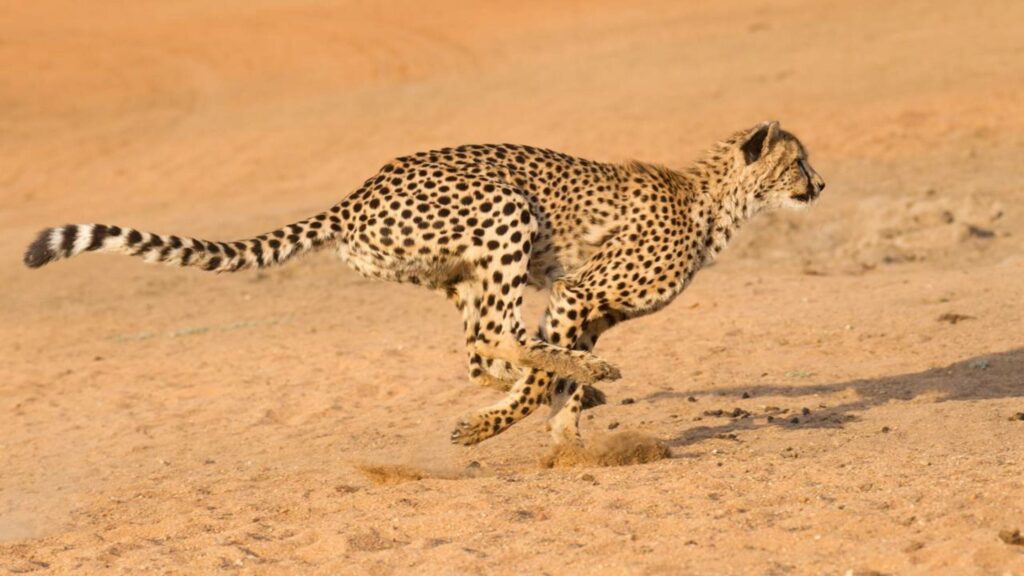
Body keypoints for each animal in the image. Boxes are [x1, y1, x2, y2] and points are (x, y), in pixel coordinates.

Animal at [23, 121, 825, 448]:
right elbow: (547, 373)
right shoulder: (576, 295)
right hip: (505, 214)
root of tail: (359, 191)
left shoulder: (587, 309)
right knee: (497, 335)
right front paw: (513, 425)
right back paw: (556, 386)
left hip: (459, 271)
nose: (820, 185)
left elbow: (550, 377)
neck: (715, 201)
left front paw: (567, 429)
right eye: (797, 161)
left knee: (478, 349)